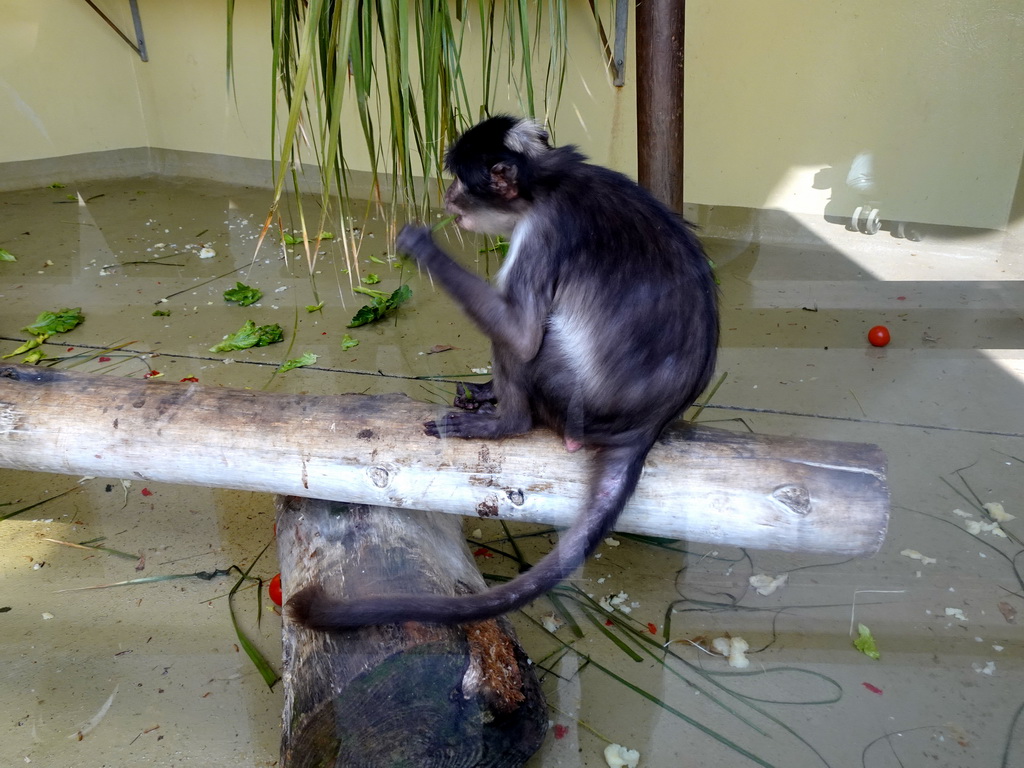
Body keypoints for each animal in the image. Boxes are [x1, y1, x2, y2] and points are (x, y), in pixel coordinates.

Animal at [286, 115, 720, 630]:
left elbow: (522, 334)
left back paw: (507, 421)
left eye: (460, 182)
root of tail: (647, 425)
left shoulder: (543, 230)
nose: (447, 198)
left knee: (530, 343)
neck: (550, 180)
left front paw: (423, 246)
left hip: (567, 397)